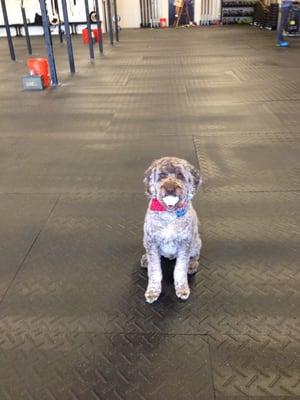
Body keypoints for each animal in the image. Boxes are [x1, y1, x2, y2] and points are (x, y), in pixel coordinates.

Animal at [141, 156, 202, 304]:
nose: (170, 188)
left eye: (180, 175)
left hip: (196, 242)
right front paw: (153, 291)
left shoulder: (185, 244)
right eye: (162, 175)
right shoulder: (151, 242)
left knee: (195, 256)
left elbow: (180, 269)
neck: (169, 213)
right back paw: (145, 259)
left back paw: (192, 265)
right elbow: (154, 270)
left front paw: (182, 288)